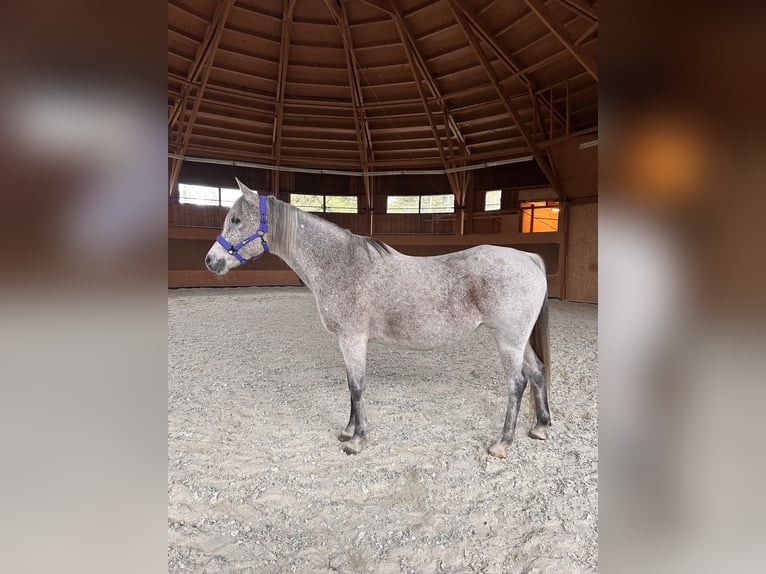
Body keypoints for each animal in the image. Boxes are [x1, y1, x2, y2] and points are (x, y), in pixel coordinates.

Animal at [204, 180, 552, 460]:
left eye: (236, 219)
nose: (211, 260)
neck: (340, 264)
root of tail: (530, 258)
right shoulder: (347, 342)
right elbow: (350, 386)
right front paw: (348, 430)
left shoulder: (352, 339)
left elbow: (357, 387)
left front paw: (357, 440)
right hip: (519, 341)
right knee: (537, 372)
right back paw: (540, 427)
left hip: (508, 341)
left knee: (517, 383)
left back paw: (502, 443)